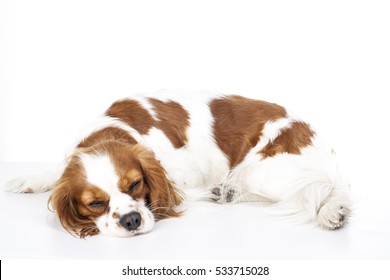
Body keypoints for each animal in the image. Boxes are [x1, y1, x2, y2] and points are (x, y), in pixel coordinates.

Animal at [4, 91, 352, 237]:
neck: (113, 130)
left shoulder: (182, 175)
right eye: (96, 203)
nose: (131, 220)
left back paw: (332, 212)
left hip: (261, 172)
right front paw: (30, 179)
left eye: (136, 184)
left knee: (329, 187)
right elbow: (57, 170)